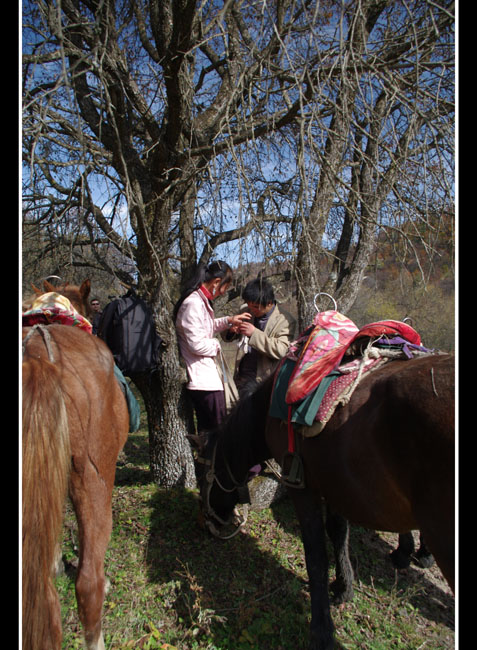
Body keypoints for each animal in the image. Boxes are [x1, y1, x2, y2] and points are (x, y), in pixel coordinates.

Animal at [194, 352, 454, 648]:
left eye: (201, 476)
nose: (204, 521)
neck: (268, 409)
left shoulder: (301, 487)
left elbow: (315, 555)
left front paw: (321, 631)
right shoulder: (337, 485)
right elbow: (338, 533)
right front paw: (343, 586)